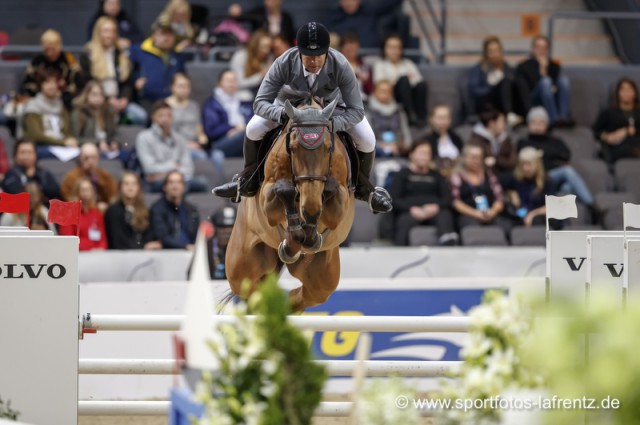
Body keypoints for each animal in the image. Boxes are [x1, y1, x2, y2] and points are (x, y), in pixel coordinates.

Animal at [224, 96, 356, 310]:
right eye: (292, 148)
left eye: (329, 147)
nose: (310, 209)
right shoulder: (267, 198)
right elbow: (284, 190)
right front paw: (295, 235)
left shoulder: (339, 208)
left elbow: (331, 191)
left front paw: (309, 232)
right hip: (240, 264)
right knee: (250, 289)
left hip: (321, 277)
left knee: (304, 296)